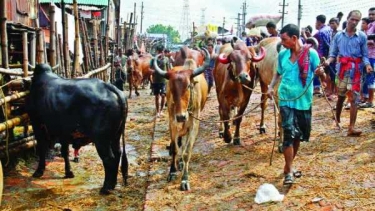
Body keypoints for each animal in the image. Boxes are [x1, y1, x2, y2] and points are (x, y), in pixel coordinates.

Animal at [26, 64, 129, 195]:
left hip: (101, 139)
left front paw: (38, 171)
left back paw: (105, 188)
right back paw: (113, 185)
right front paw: (69, 172)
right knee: (117, 154)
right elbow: (65, 151)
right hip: (115, 136)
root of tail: (109, 87)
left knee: (109, 159)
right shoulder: (63, 131)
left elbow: (42, 149)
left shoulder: (37, 125)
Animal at [153, 48, 212, 190]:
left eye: (189, 86)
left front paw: (185, 179)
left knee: (184, 144)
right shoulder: (172, 122)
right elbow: (175, 148)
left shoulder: (194, 124)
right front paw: (172, 171)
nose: (181, 116)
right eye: (172, 88)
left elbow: (186, 151)